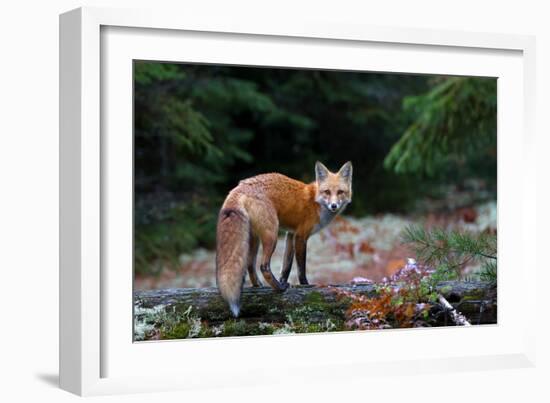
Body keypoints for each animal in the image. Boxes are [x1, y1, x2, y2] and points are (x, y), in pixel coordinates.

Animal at [216, 163, 354, 318]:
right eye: (327, 192)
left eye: (340, 192)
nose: (334, 206)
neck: (315, 202)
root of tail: (240, 186)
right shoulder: (301, 236)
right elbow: (301, 267)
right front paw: (305, 285)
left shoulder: (290, 235)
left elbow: (286, 266)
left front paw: (284, 280)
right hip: (272, 234)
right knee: (263, 266)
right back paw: (279, 288)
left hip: (254, 238)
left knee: (250, 264)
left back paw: (259, 285)